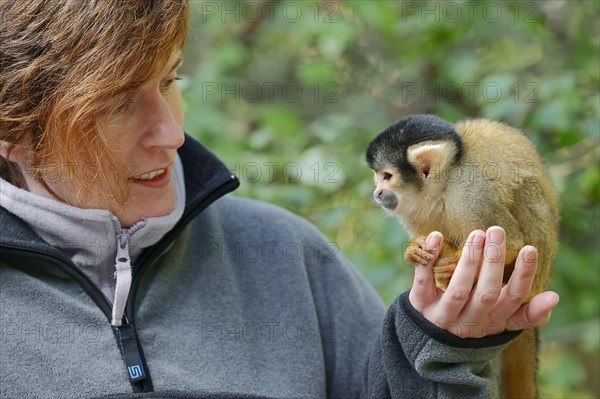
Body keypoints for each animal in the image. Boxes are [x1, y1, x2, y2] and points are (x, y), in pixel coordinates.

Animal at [366, 115, 556, 399]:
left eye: (387, 176)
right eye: (378, 178)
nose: (377, 192)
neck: (442, 187)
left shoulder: (469, 194)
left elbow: (511, 243)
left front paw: (455, 266)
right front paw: (415, 248)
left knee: (527, 190)